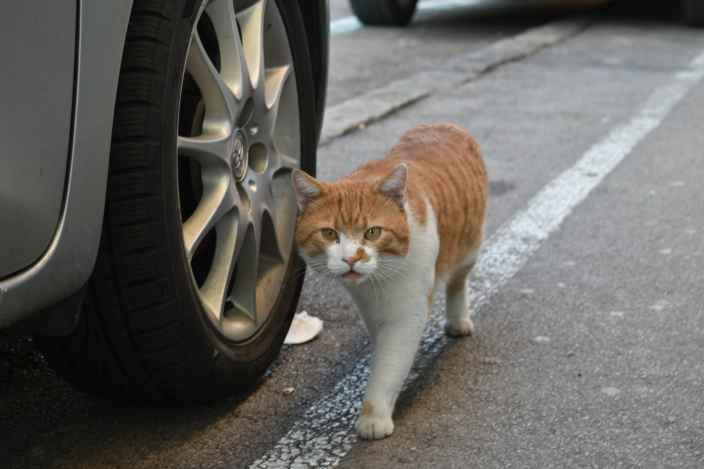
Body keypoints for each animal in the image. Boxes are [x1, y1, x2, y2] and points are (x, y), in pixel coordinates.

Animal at [294, 122, 486, 436]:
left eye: (373, 232)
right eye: (329, 234)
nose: (351, 258)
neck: (377, 284)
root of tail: (445, 124)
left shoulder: (405, 317)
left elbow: (389, 364)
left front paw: (374, 416)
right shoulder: (371, 311)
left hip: (468, 248)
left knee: (458, 282)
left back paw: (458, 320)